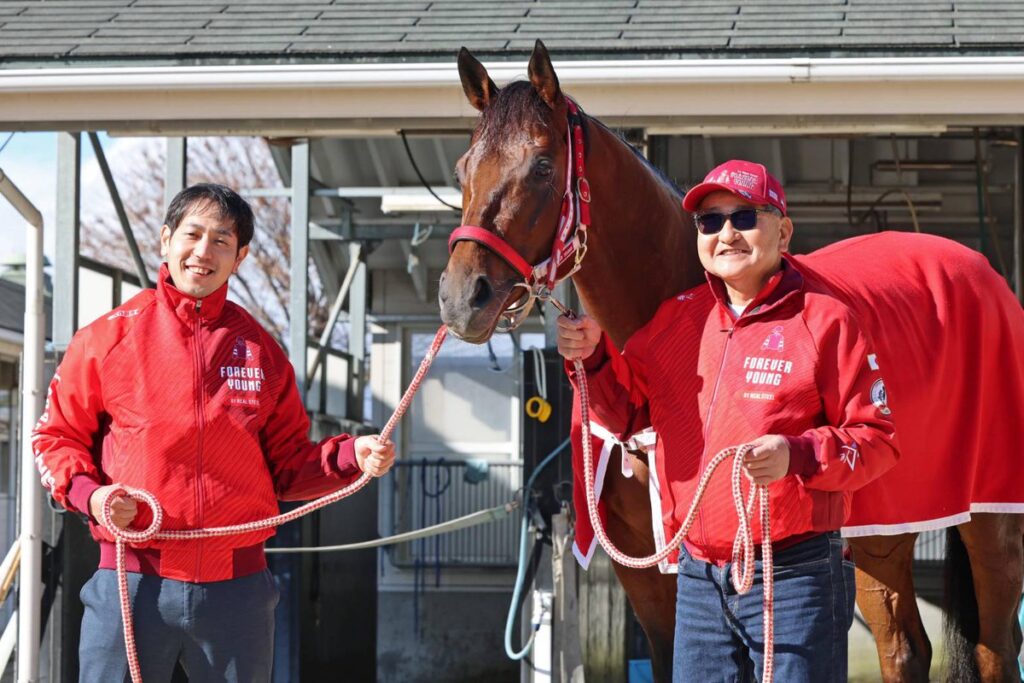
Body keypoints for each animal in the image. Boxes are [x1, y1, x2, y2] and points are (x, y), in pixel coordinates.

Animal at [438, 40, 1024, 683]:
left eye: (543, 166)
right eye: (463, 168)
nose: (462, 296)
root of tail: (984, 274)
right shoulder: (643, 564)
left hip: (988, 522)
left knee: (995, 648)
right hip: (882, 532)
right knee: (904, 648)